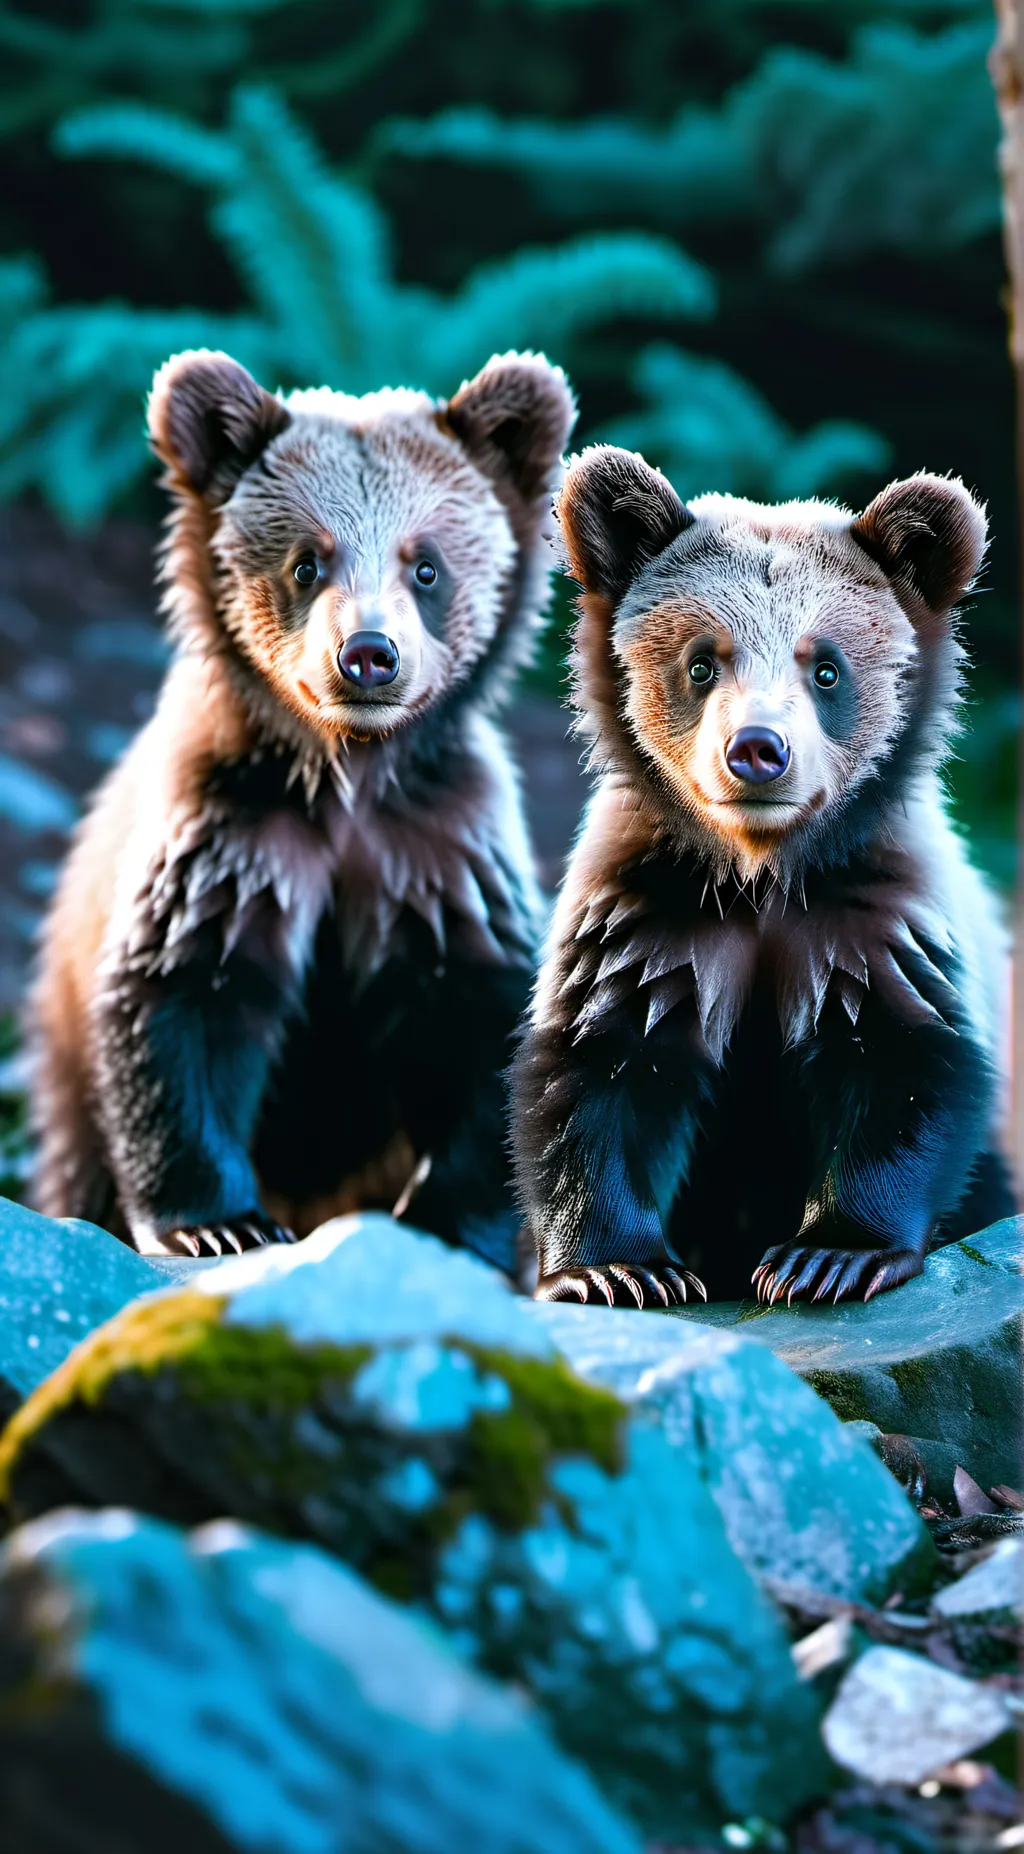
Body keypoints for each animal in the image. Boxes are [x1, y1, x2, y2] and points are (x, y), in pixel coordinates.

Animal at [32, 347, 576, 1268]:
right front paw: (216, 1220)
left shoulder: (435, 852)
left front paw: (446, 1221)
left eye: (425, 564)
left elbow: (473, 1018)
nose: (368, 654)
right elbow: (182, 999)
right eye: (306, 561)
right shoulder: (232, 839)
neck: (347, 776)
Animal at [512, 445, 1014, 1306]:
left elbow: (905, 1065)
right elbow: (594, 1070)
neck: (762, 873)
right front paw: (615, 1269)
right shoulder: (648, 915)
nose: (756, 749)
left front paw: (829, 1256)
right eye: (701, 662)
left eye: (827, 669)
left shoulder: (872, 919)